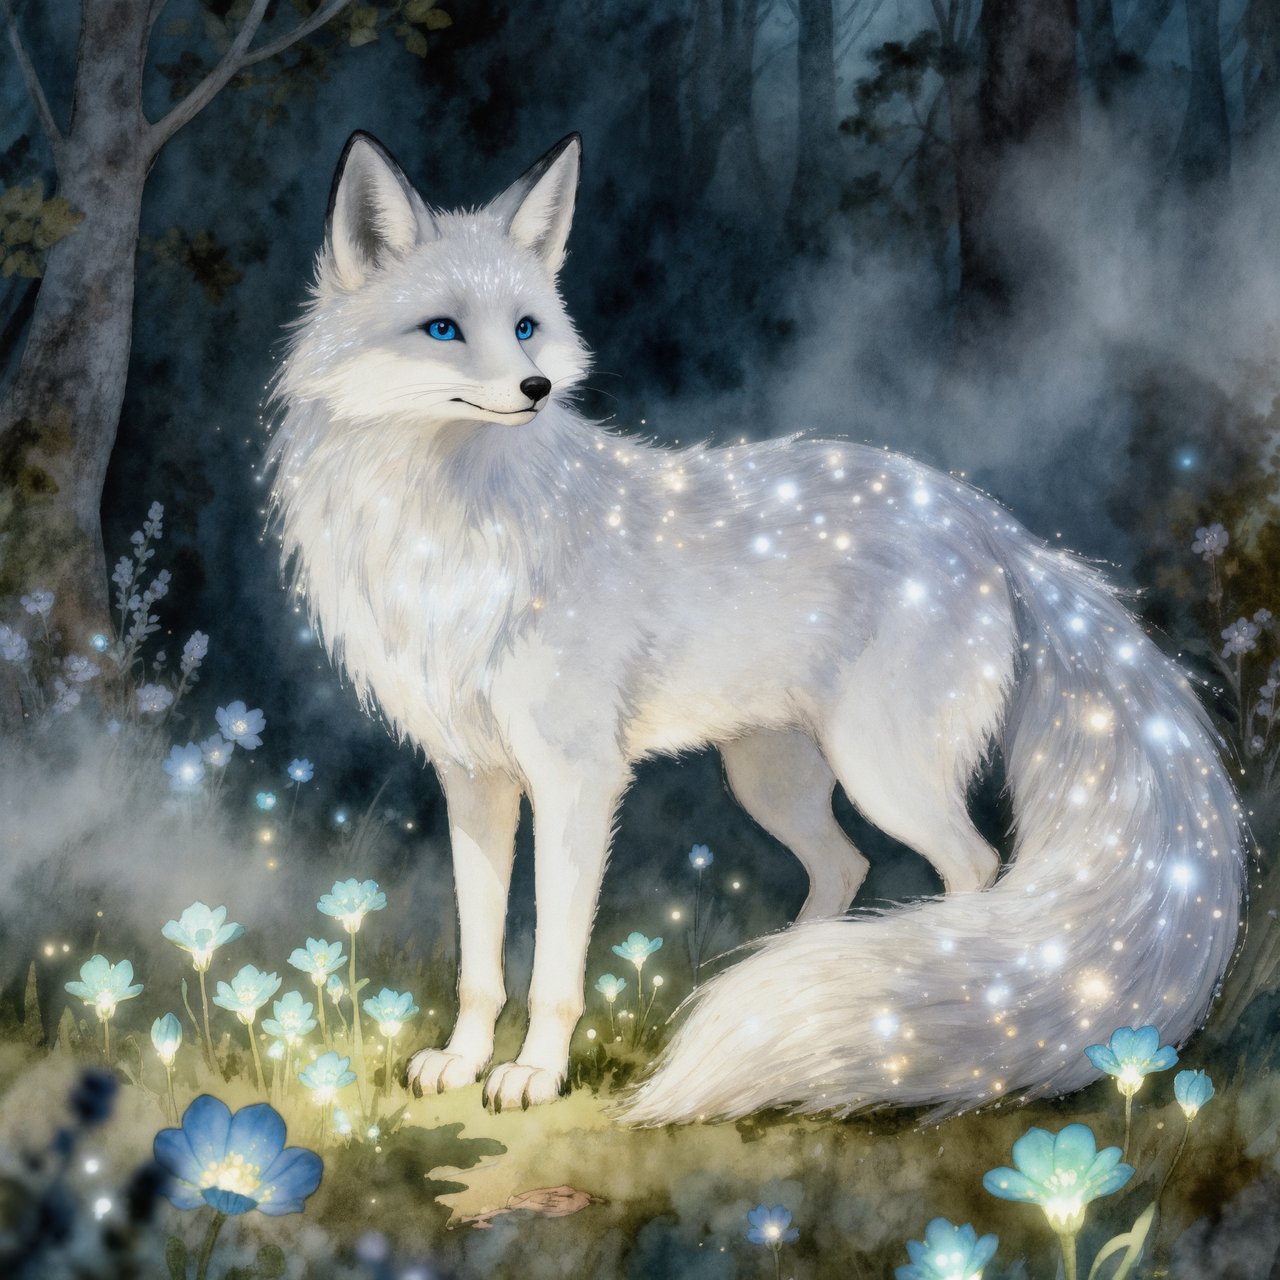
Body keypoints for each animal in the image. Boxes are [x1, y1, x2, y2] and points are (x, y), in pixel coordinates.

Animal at [267, 131, 1244, 1122]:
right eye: (443, 331)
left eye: (526, 327)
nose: (535, 388)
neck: (451, 540)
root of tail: (988, 522)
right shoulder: (473, 778)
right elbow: (478, 960)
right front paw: (462, 1064)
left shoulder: (578, 777)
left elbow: (554, 971)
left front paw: (536, 1074)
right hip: (770, 779)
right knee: (846, 868)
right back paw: (814, 984)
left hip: (883, 772)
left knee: (974, 870)